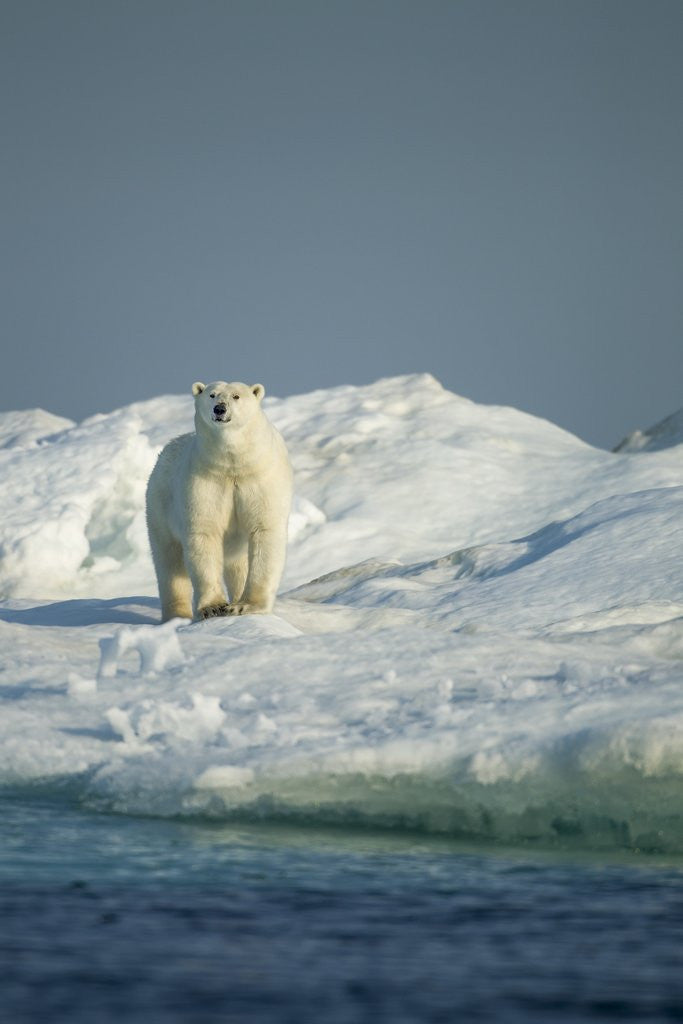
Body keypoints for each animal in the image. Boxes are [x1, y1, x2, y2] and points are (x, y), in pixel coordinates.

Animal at [146, 380, 293, 622]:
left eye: (236, 396)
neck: (233, 464)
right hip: (160, 507)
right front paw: (213, 607)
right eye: (212, 395)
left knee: (236, 564)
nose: (220, 409)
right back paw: (177, 615)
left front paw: (245, 606)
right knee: (169, 563)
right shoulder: (204, 482)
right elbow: (204, 532)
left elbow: (264, 530)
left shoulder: (261, 478)